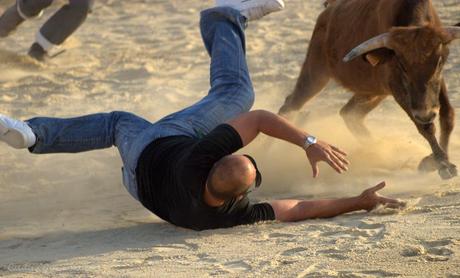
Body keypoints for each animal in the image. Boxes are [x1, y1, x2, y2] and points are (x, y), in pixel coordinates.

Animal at [278, 0, 460, 178]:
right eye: (402, 65)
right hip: (315, 74)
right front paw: (442, 163)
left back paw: (383, 149)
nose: (425, 114)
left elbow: (447, 115)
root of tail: (327, 13)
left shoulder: (437, 83)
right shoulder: (397, 87)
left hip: (373, 92)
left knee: (349, 113)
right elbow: (425, 127)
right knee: (290, 105)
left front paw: (434, 160)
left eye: (439, 62)